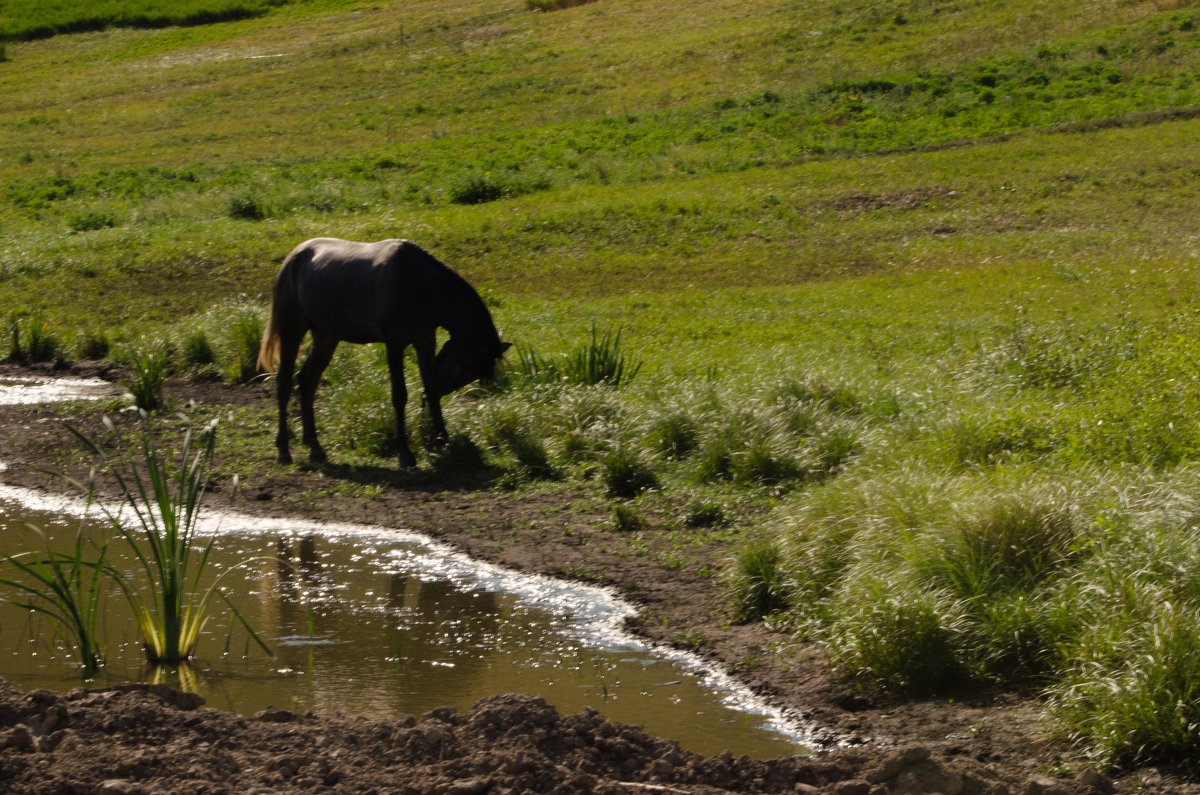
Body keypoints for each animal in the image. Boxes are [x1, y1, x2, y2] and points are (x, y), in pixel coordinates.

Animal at [256, 240, 506, 470]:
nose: (424, 401)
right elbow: (399, 395)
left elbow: (430, 388)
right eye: (464, 371)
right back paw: (283, 450)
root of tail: (293, 258)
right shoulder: (395, 345)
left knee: (307, 382)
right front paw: (405, 453)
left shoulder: (425, 341)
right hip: (292, 332)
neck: (420, 285)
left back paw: (315, 448)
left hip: (326, 338)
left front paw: (442, 441)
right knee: (284, 384)